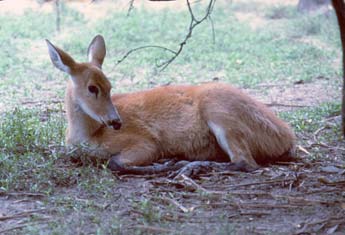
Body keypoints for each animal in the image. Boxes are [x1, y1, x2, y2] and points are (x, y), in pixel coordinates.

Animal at [46, 34, 296, 174]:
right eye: (92, 88)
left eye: (110, 86)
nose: (116, 122)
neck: (87, 135)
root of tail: (287, 136)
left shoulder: (146, 142)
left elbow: (116, 162)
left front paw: (162, 165)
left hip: (220, 113)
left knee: (245, 163)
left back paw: (187, 166)